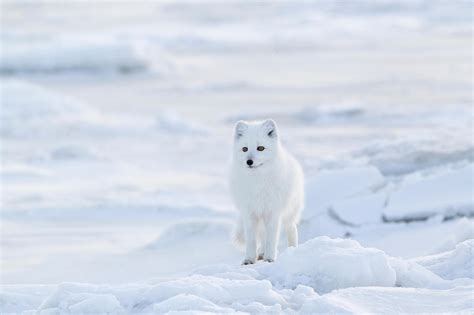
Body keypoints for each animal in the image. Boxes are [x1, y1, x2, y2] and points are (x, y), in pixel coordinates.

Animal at [231, 119, 306, 266]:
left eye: (260, 148)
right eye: (244, 149)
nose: (249, 161)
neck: (258, 182)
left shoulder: (273, 212)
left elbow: (271, 239)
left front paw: (270, 259)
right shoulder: (249, 213)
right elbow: (252, 240)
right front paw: (249, 259)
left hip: (289, 214)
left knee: (291, 229)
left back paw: (292, 250)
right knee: (262, 236)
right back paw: (260, 253)